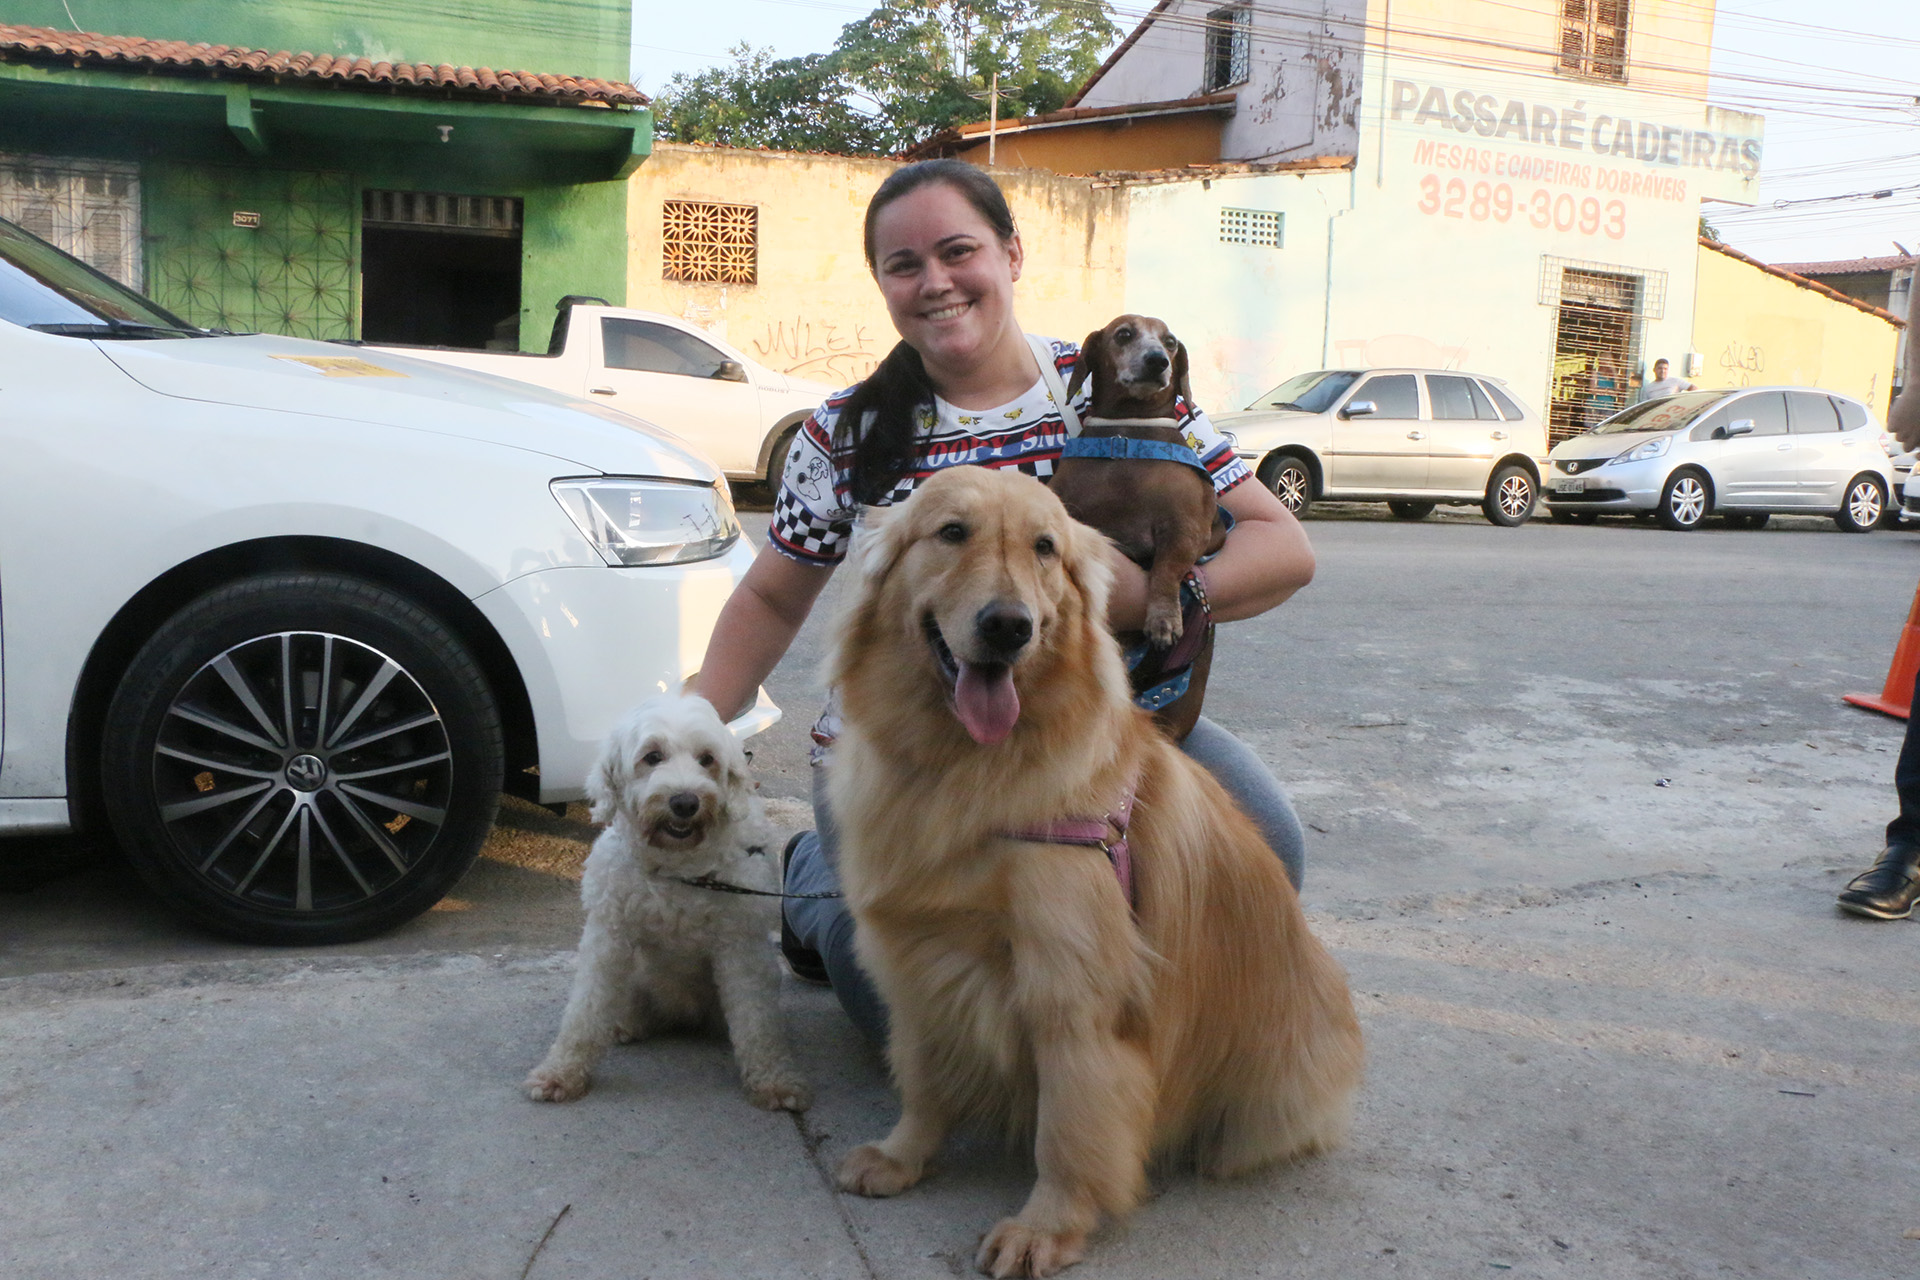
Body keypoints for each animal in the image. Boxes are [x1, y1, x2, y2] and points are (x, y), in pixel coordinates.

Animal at [526, 702, 810, 1113]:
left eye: (707, 759)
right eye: (652, 756)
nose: (685, 802)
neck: (677, 870)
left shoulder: (741, 947)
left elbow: (756, 1022)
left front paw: (774, 1080)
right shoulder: (608, 937)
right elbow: (585, 1010)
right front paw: (560, 1072)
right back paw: (623, 1025)